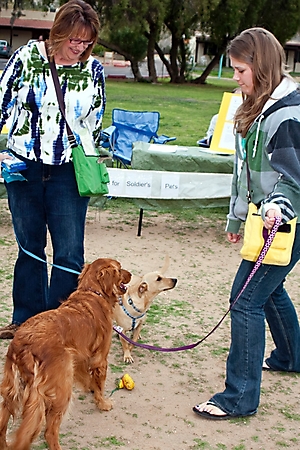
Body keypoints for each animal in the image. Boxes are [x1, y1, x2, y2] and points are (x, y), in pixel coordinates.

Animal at [0, 256, 130, 450]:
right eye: (119, 269)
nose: (131, 274)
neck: (93, 291)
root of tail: (23, 344)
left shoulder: (81, 357)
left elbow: (87, 378)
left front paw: (90, 388)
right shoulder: (100, 358)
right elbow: (100, 383)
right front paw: (103, 403)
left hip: (11, 390)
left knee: (2, 425)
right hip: (62, 387)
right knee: (49, 432)